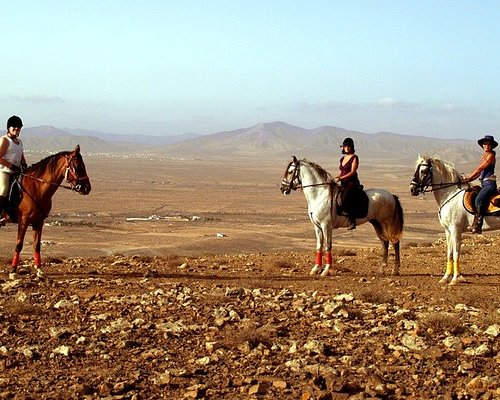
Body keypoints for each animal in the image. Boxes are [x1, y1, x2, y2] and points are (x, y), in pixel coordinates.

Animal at [2, 145, 92, 280]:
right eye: (79, 166)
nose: (87, 188)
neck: (36, 188)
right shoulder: (23, 221)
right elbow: (19, 245)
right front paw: (13, 272)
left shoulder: (39, 222)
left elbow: (37, 245)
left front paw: (39, 271)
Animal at [410, 155, 500, 284]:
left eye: (423, 171)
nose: (412, 189)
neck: (449, 195)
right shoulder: (448, 231)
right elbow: (450, 253)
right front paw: (445, 277)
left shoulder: (456, 229)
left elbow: (457, 253)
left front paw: (455, 279)